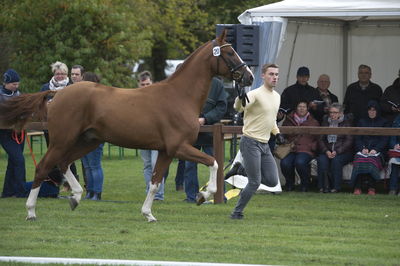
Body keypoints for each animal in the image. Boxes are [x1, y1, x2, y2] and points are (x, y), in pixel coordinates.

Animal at [0, 31, 253, 222]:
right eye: (229, 52)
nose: (249, 76)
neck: (180, 96)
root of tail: (57, 93)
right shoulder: (179, 147)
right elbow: (214, 162)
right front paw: (204, 195)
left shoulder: (165, 151)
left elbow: (154, 182)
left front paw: (148, 214)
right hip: (63, 140)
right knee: (43, 167)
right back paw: (31, 211)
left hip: (87, 141)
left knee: (63, 163)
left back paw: (76, 197)